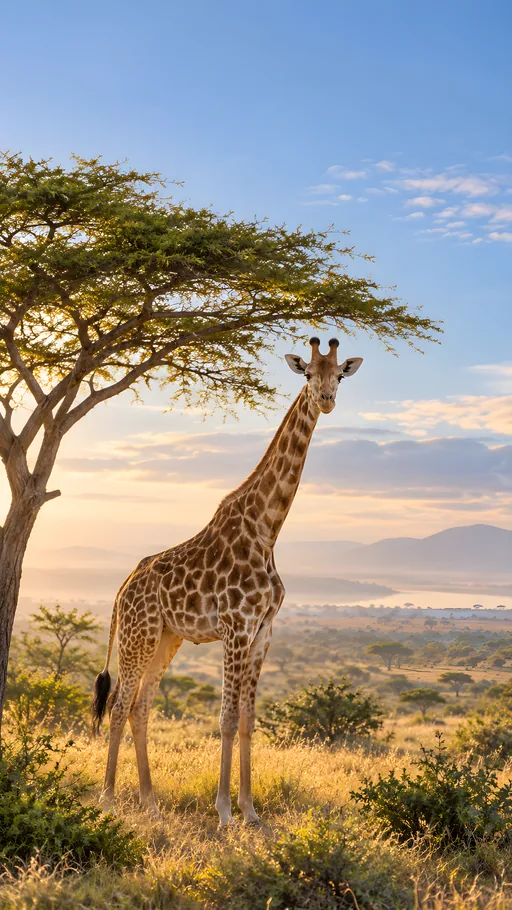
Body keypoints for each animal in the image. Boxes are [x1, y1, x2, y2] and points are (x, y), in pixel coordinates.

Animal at [91, 337, 363, 827]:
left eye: (339, 375)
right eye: (307, 374)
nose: (326, 400)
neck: (267, 529)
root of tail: (124, 587)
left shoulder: (263, 633)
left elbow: (249, 721)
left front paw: (251, 811)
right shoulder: (236, 630)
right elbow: (226, 719)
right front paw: (223, 812)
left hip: (167, 637)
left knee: (141, 706)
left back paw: (151, 803)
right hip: (139, 635)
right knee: (120, 704)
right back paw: (108, 800)